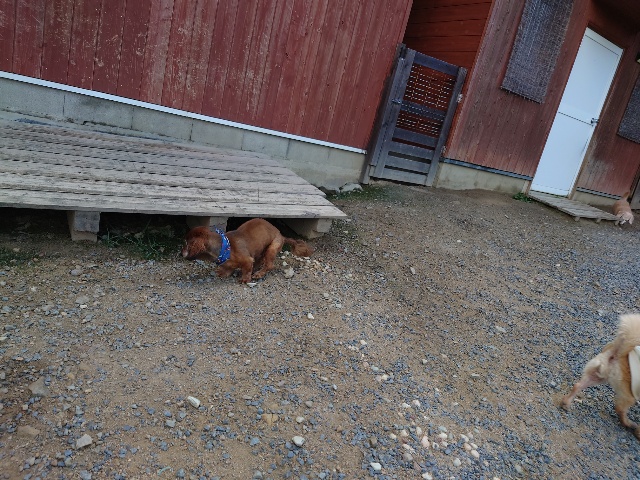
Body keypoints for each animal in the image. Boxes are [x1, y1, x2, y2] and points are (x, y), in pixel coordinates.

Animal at [181, 218, 314, 283]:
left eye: (186, 243)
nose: (181, 253)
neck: (224, 248)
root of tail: (282, 235)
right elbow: (228, 268)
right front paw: (223, 272)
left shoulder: (247, 260)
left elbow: (246, 269)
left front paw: (245, 279)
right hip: (261, 250)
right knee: (259, 261)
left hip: (272, 248)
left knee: (269, 265)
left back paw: (259, 273)